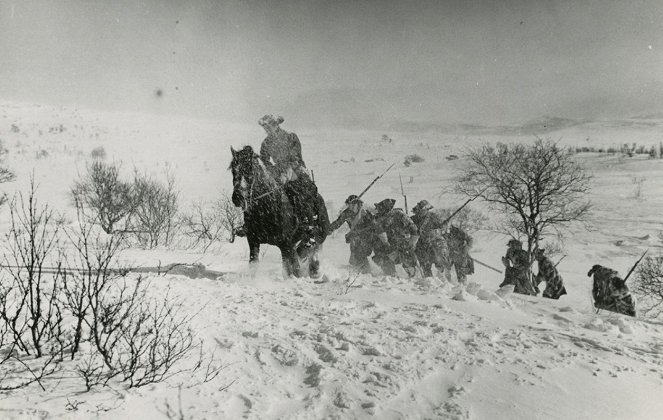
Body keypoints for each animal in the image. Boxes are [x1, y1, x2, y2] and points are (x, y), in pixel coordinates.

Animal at [231, 146, 330, 278]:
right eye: (233, 170)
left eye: (250, 169)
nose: (238, 197)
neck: (265, 209)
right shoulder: (253, 241)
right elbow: (254, 265)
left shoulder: (285, 244)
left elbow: (292, 270)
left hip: (317, 237)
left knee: (312, 254)